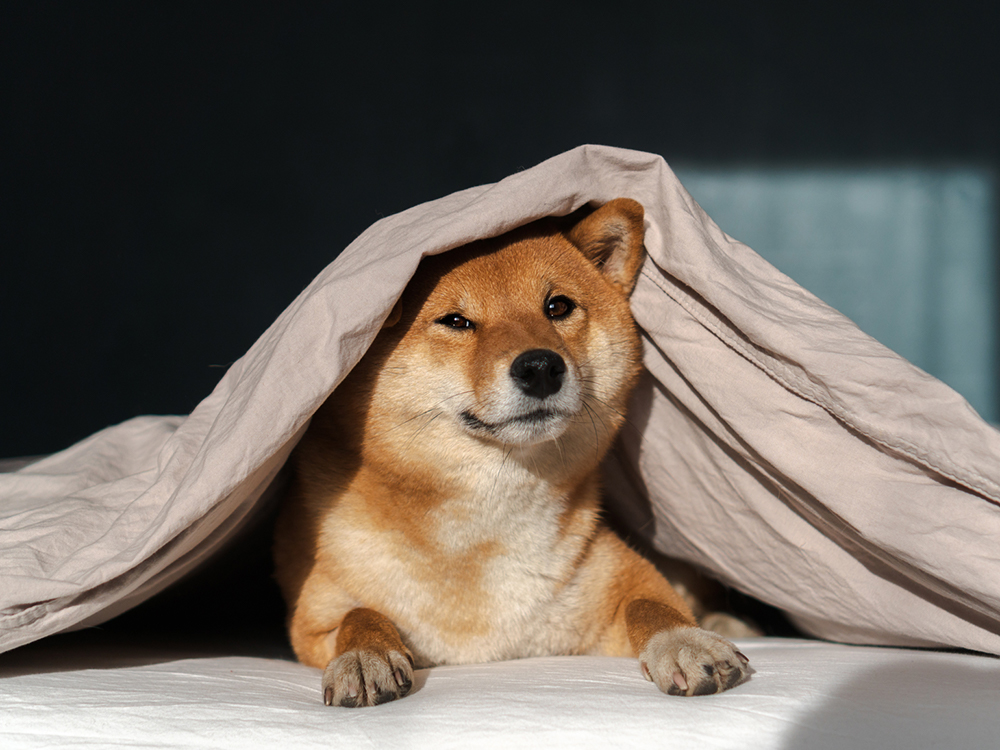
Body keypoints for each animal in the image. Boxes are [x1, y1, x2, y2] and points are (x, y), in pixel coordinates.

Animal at [274, 197, 752, 708]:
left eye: (558, 306)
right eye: (457, 321)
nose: (540, 366)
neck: (484, 531)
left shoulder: (628, 583)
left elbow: (651, 606)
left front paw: (685, 641)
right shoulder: (314, 622)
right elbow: (359, 615)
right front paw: (364, 655)